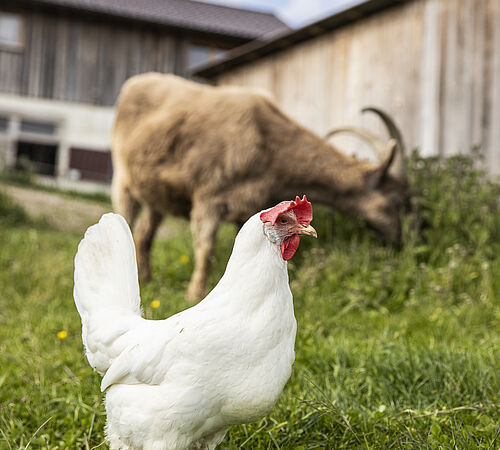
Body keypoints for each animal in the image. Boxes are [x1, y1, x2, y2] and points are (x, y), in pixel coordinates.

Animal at [111, 72, 408, 300]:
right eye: (397, 200)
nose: (403, 240)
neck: (266, 140)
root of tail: (132, 84)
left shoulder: (248, 207)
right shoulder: (209, 195)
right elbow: (206, 249)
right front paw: (194, 295)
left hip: (157, 195)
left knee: (145, 233)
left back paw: (147, 280)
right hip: (123, 179)